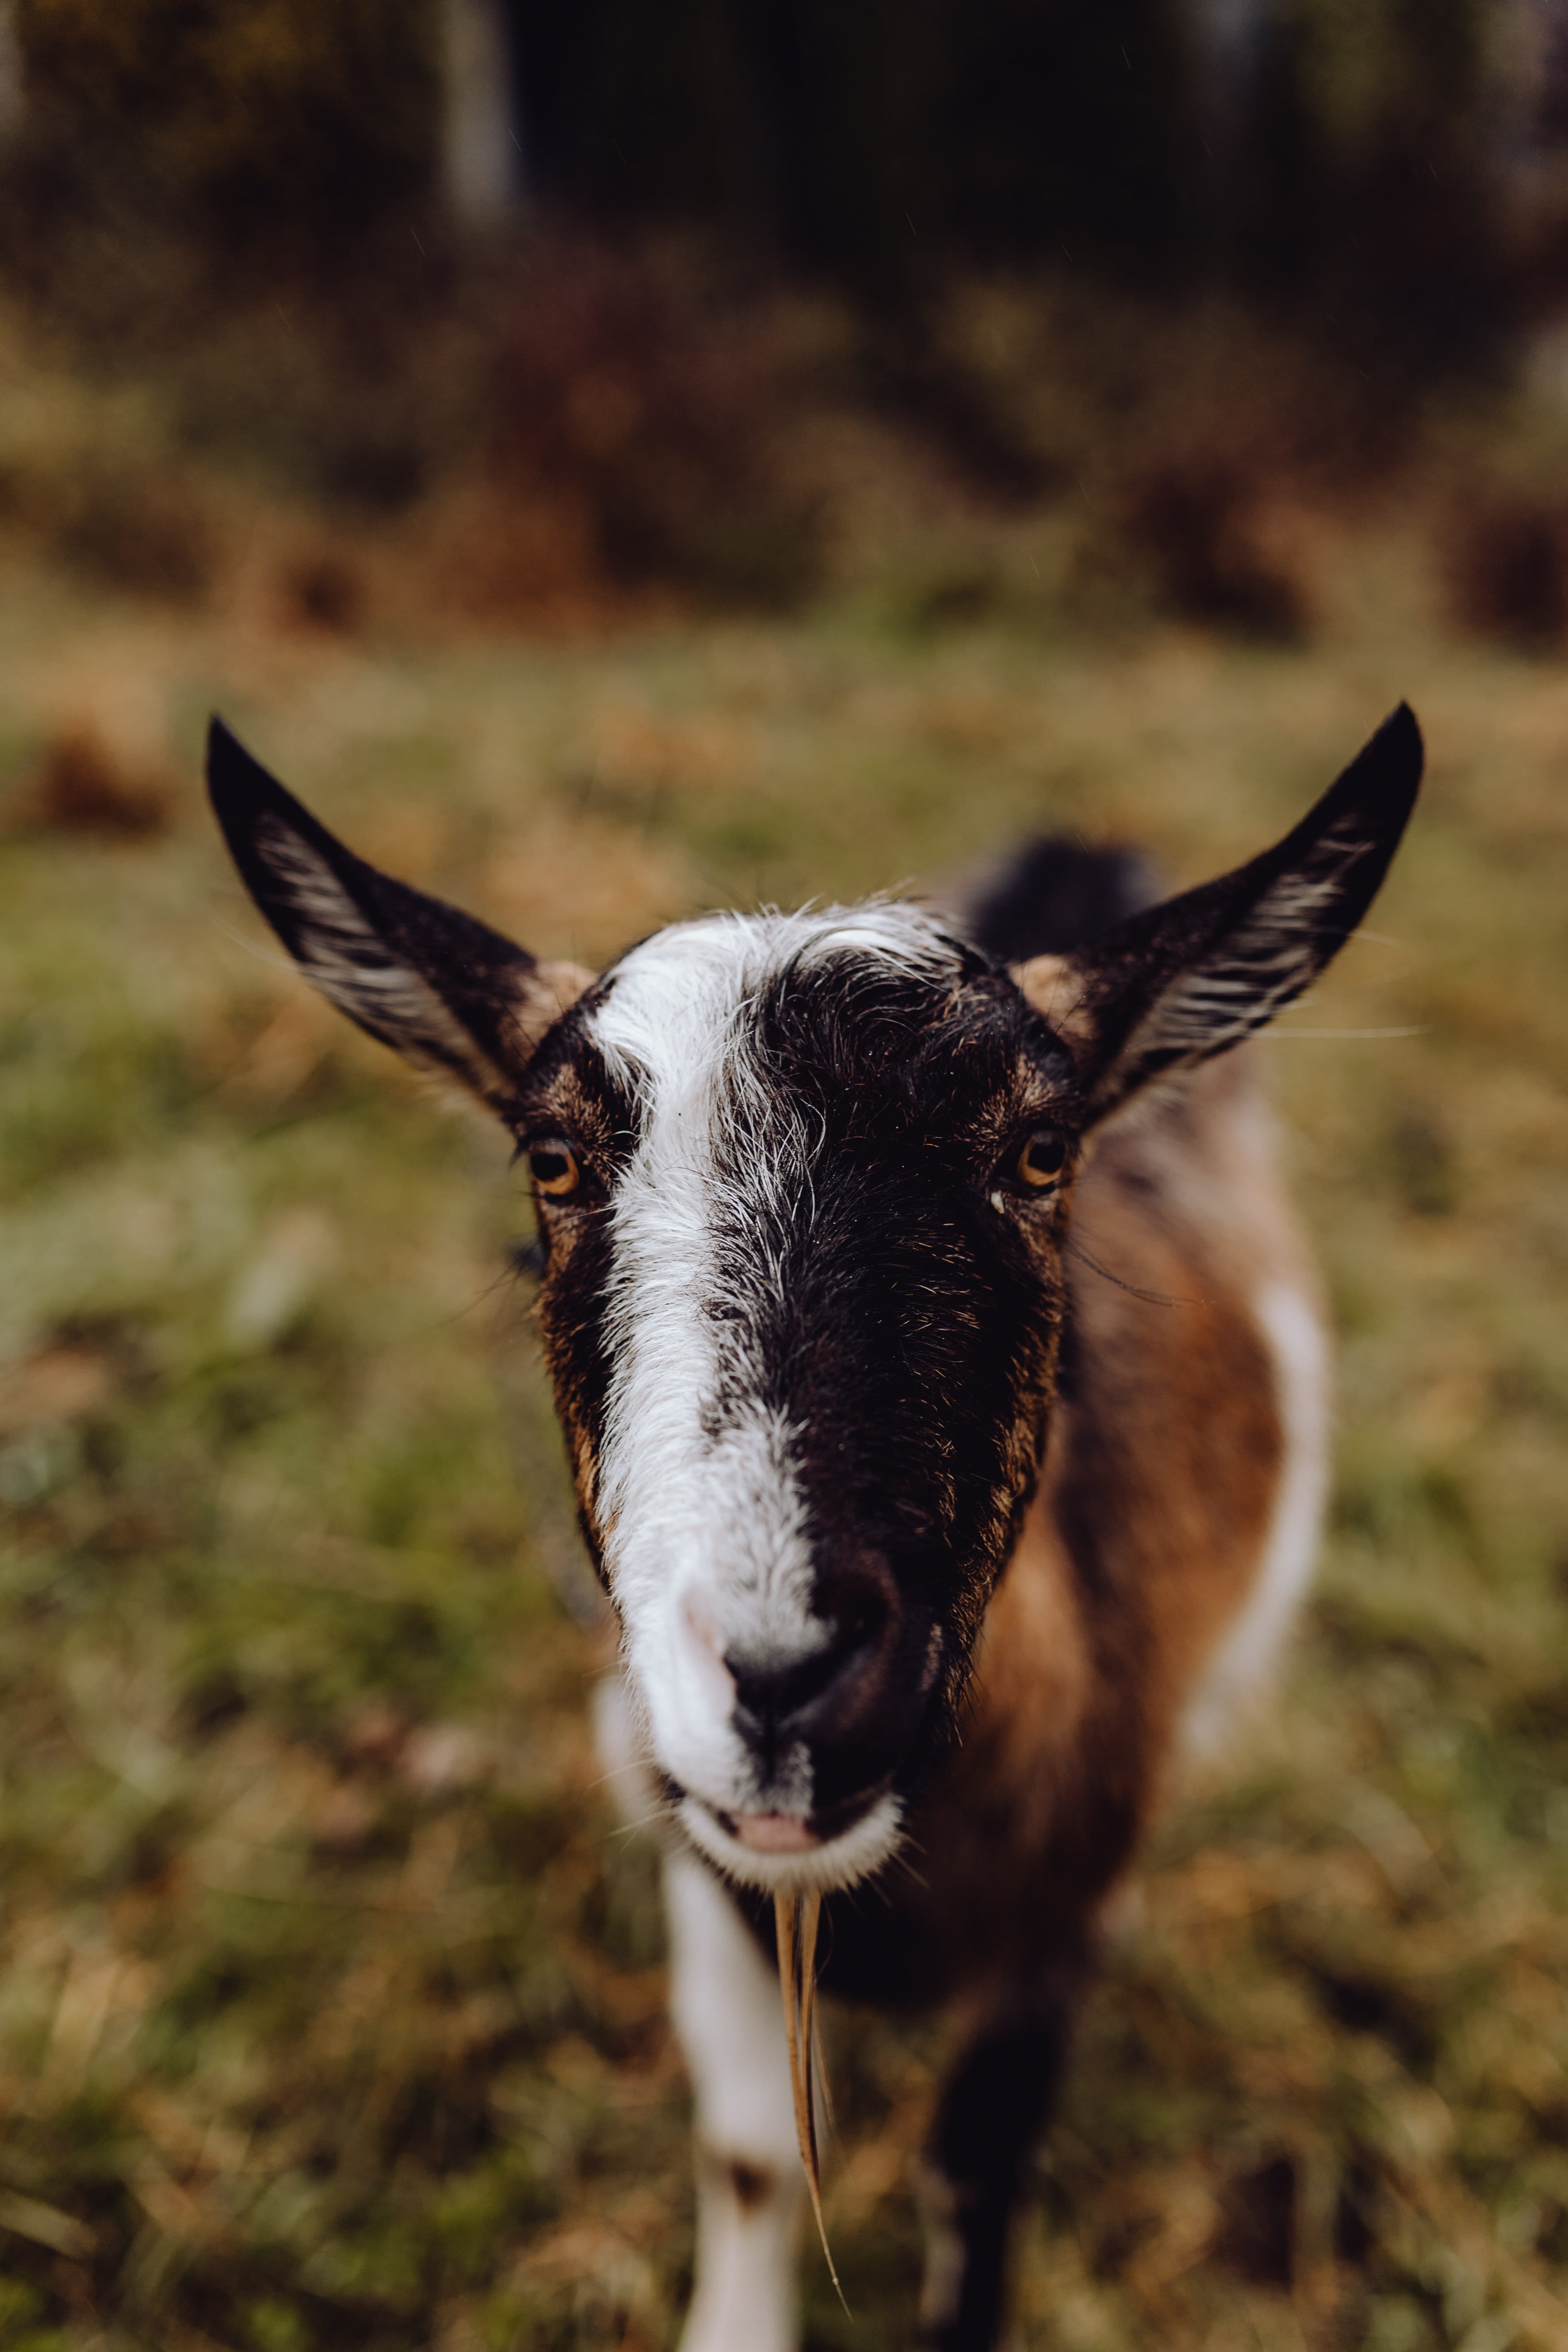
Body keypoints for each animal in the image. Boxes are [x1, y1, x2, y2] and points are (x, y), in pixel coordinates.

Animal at [208, 703, 1422, 2351]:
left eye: (1039, 1153)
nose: (786, 1676)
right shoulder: (695, 1851)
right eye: (552, 1158)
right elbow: (749, 2149)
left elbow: (972, 2167)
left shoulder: (1065, 1912)